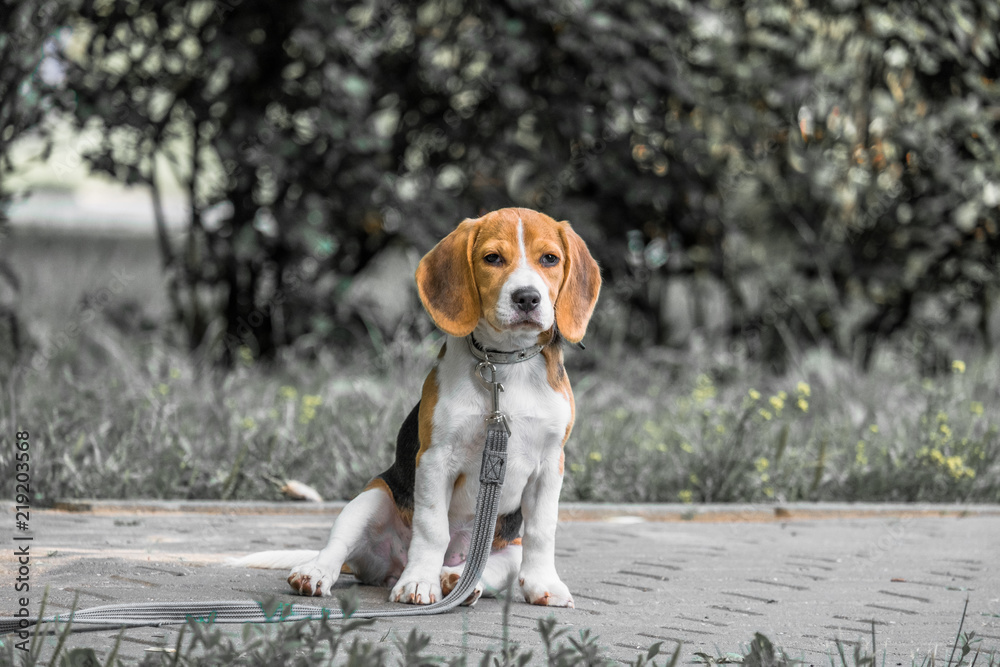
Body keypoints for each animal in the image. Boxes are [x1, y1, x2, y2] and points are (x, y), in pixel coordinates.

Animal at [238, 210, 600, 612]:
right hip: (372, 498)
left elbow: (541, 530)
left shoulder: (550, 465)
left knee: (486, 568)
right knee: (338, 545)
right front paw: (418, 582)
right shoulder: (435, 457)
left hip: (508, 551)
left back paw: (458, 580)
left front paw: (543, 584)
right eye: (492, 258)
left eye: (549, 259)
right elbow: (431, 528)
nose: (527, 297)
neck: (504, 365)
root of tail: (387, 567)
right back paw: (319, 573)